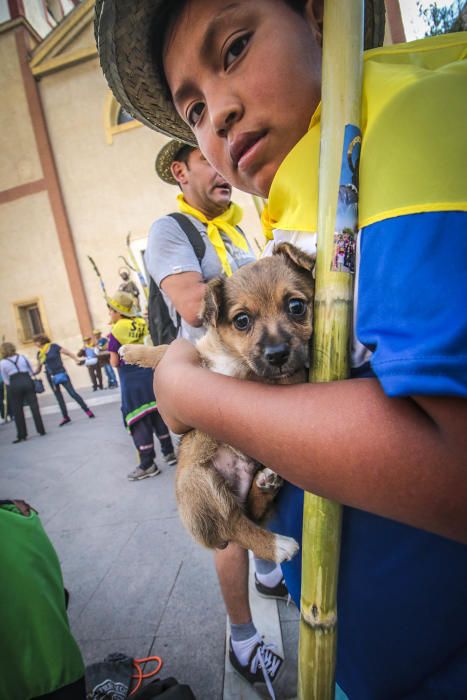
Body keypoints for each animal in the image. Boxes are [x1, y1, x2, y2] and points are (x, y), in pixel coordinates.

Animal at [122, 245, 316, 564]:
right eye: (242, 320)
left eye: (296, 306)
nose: (276, 354)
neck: (232, 356)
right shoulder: (202, 357)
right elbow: (165, 350)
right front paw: (134, 351)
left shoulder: (283, 377)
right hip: (203, 480)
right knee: (241, 516)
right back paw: (266, 489)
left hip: (202, 486)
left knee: (237, 524)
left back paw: (278, 543)